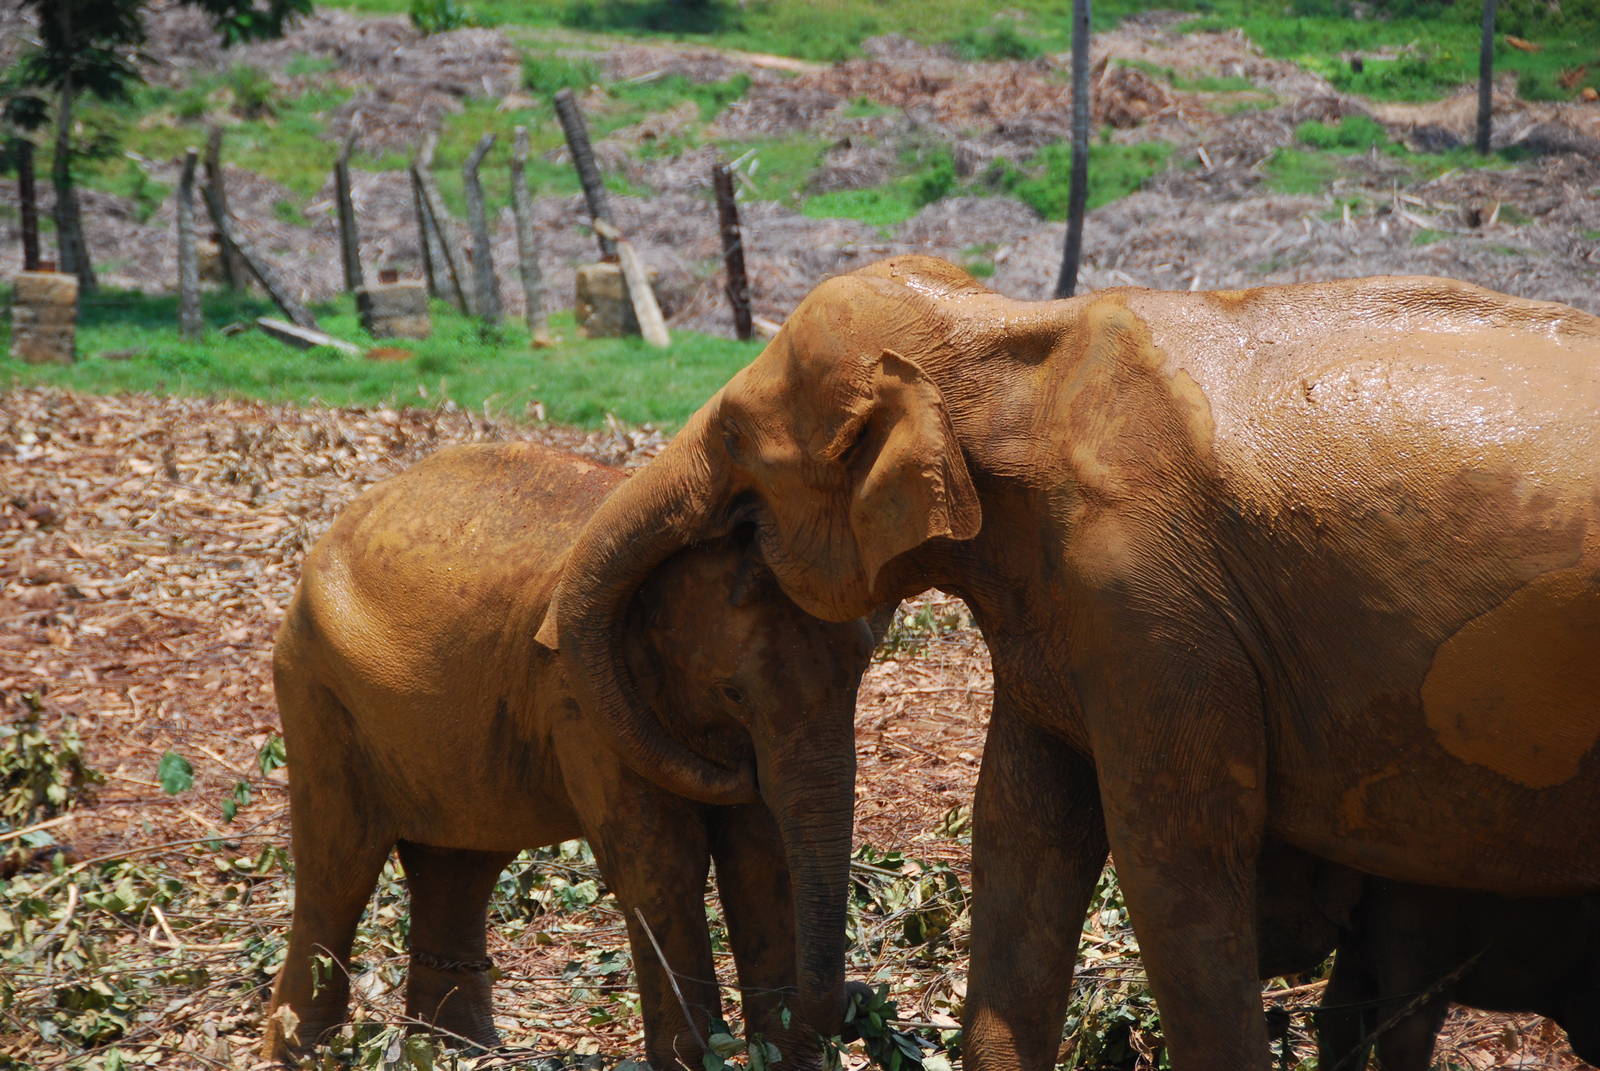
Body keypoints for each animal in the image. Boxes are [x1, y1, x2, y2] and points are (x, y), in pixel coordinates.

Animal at [262, 441, 878, 1068]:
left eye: (861, 668)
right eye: (733, 692)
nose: (860, 1000)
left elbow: (760, 859)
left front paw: (781, 1056)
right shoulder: (579, 699)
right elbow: (660, 865)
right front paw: (692, 1060)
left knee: (458, 865)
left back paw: (459, 1049)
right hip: (317, 689)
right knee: (340, 865)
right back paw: (305, 1051)